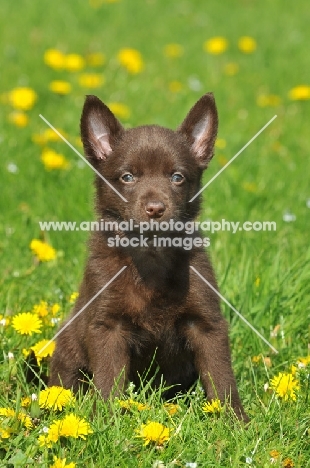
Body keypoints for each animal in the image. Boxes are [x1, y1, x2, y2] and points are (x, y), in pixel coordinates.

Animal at [49, 94, 249, 420]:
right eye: (128, 177)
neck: (151, 255)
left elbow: (221, 376)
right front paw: (105, 421)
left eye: (177, 177)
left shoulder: (207, 324)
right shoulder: (107, 326)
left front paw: (235, 422)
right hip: (68, 353)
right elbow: (109, 379)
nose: (155, 208)